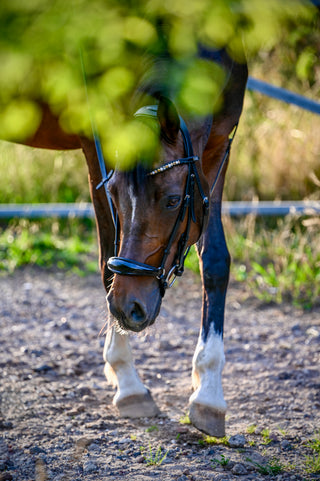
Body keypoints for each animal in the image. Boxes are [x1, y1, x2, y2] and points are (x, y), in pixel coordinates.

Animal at [21, 45, 248, 436]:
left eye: (172, 200)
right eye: (113, 192)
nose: (130, 308)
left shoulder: (218, 147)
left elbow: (216, 260)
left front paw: (209, 393)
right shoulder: (94, 140)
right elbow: (106, 259)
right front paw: (128, 382)